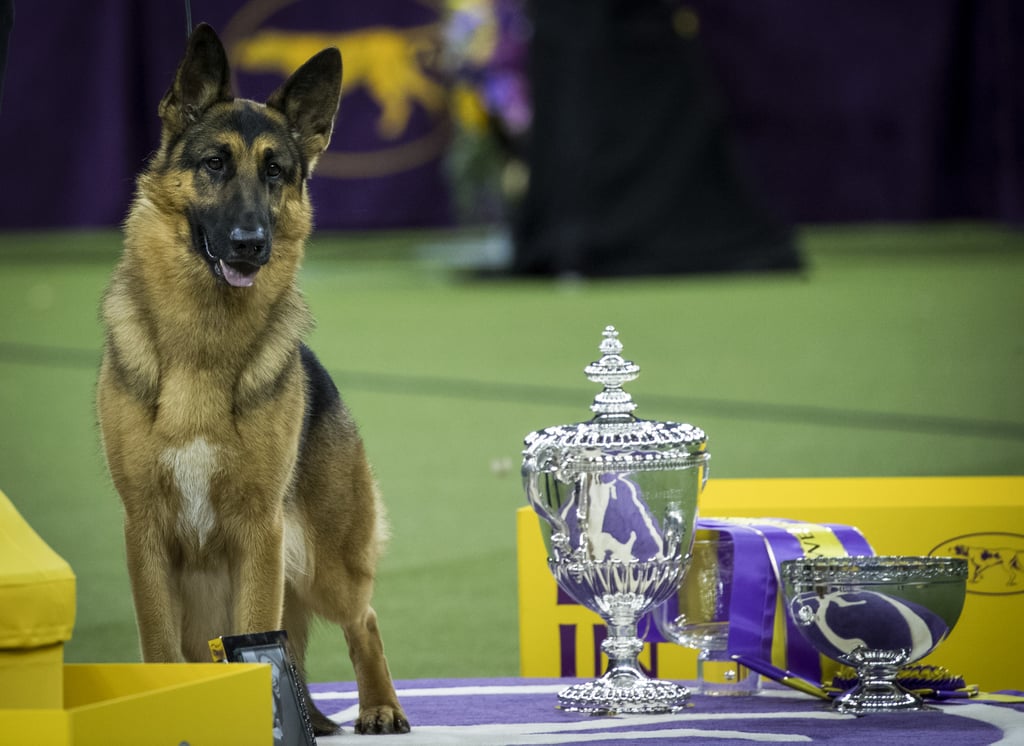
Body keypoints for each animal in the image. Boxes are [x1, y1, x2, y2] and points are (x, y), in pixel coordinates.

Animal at [95, 21, 407, 732]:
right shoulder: (145, 534)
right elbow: (158, 645)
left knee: (364, 620)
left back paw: (378, 706)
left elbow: (263, 633)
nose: (250, 244)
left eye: (275, 172)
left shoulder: (259, 533)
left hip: (324, 563)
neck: (202, 347)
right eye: (214, 164)